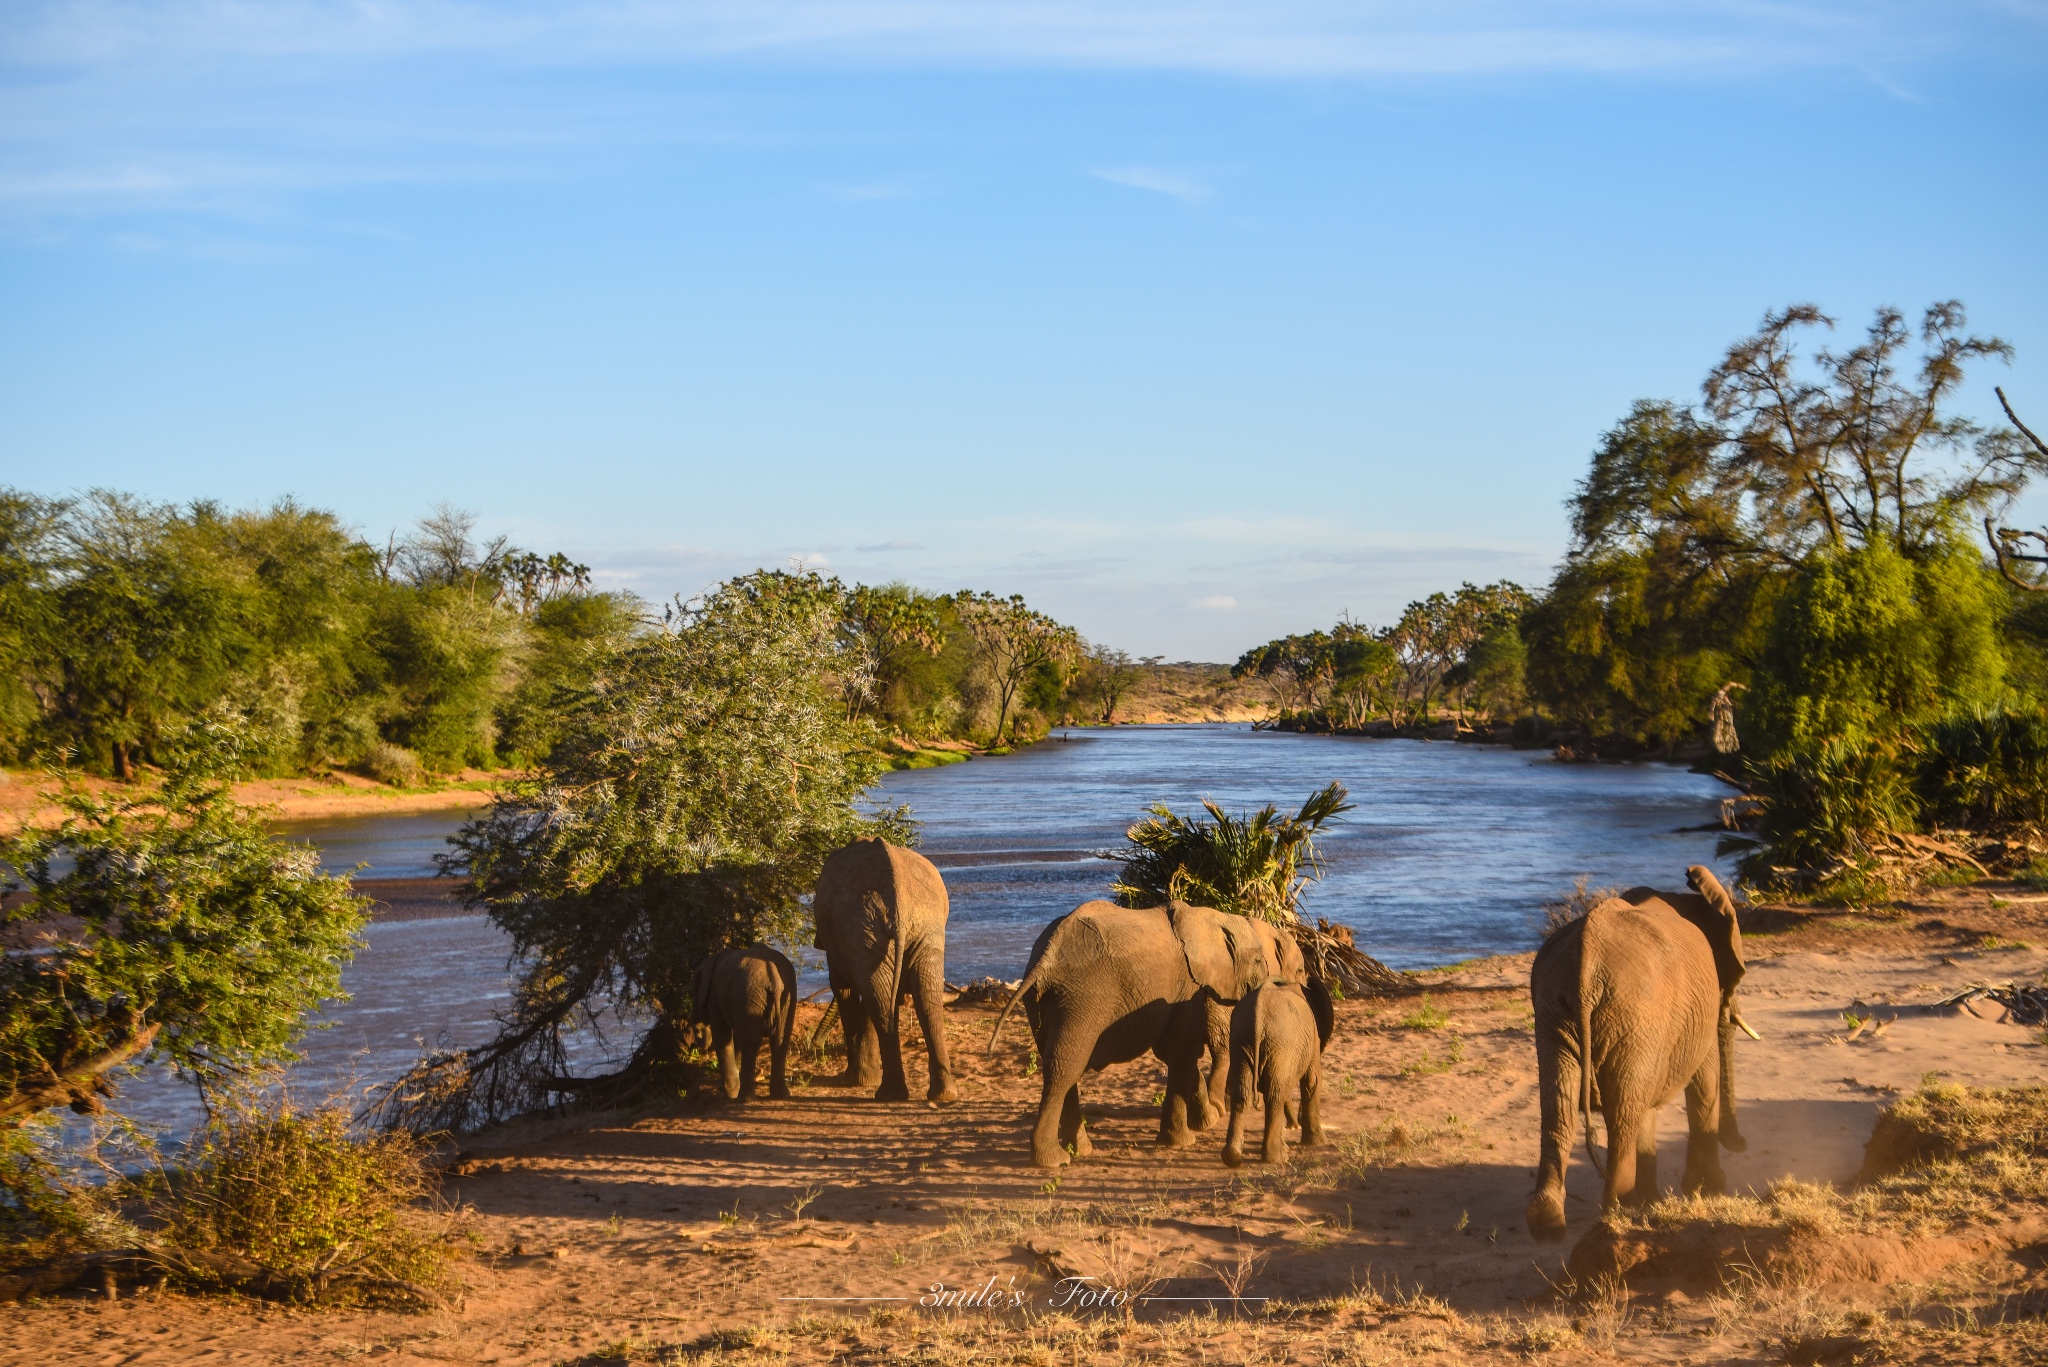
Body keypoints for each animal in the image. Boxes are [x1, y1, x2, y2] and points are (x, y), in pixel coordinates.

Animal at [692, 942, 794, 1098]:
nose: (698, 1030)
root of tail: (774, 980)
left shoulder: (715, 998)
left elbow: (723, 1037)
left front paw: (728, 1093)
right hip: (787, 996)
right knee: (781, 1041)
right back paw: (781, 1095)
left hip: (749, 997)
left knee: (750, 1044)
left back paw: (744, 1098)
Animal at [806, 840, 958, 1106]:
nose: (816, 1044)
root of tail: (898, 899)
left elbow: (843, 990)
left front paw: (854, 1080)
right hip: (923, 924)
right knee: (922, 996)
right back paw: (942, 1094)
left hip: (868, 926)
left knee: (878, 998)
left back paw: (889, 1094)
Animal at [987, 901, 1294, 1172]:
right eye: (1258, 960)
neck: (1208, 916)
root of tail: (1045, 958)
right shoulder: (1187, 985)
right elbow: (1182, 1052)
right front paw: (1182, 1142)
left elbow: (1176, 1053)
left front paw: (1199, 1126)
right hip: (1083, 999)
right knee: (1065, 1068)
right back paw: (1054, 1160)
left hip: (1043, 1000)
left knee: (1061, 1066)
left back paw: (1081, 1150)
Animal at [1220, 979, 1335, 1172]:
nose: (1295, 1124)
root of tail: (1258, 1015)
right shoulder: (1312, 1036)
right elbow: (1312, 1080)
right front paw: (1317, 1143)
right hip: (1281, 1042)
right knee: (1274, 1095)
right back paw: (1276, 1157)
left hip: (1241, 1040)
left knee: (1242, 1093)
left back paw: (1232, 1158)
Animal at [1531, 873, 1753, 1246]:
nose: (1742, 1144)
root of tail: (1586, 963)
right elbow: (1704, 1081)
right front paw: (1708, 1191)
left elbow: (1648, 1104)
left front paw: (1657, 1200)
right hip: (1634, 1013)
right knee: (1622, 1114)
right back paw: (1618, 1212)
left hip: (1558, 1013)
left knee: (1562, 1109)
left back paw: (1549, 1228)